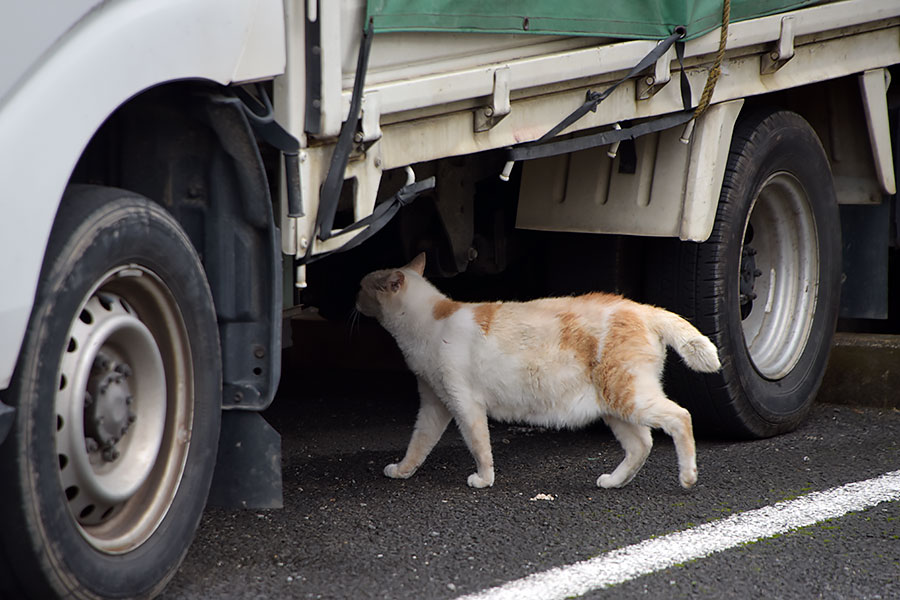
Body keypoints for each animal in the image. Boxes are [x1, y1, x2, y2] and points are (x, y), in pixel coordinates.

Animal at [356, 251, 720, 490]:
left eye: (362, 287)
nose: (353, 297)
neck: (428, 324)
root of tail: (644, 309)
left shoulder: (464, 403)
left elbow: (478, 444)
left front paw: (484, 479)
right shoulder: (435, 404)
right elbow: (419, 443)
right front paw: (403, 471)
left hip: (628, 395)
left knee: (680, 417)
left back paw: (688, 476)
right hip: (615, 404)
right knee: (641, 443)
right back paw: (614, 481)